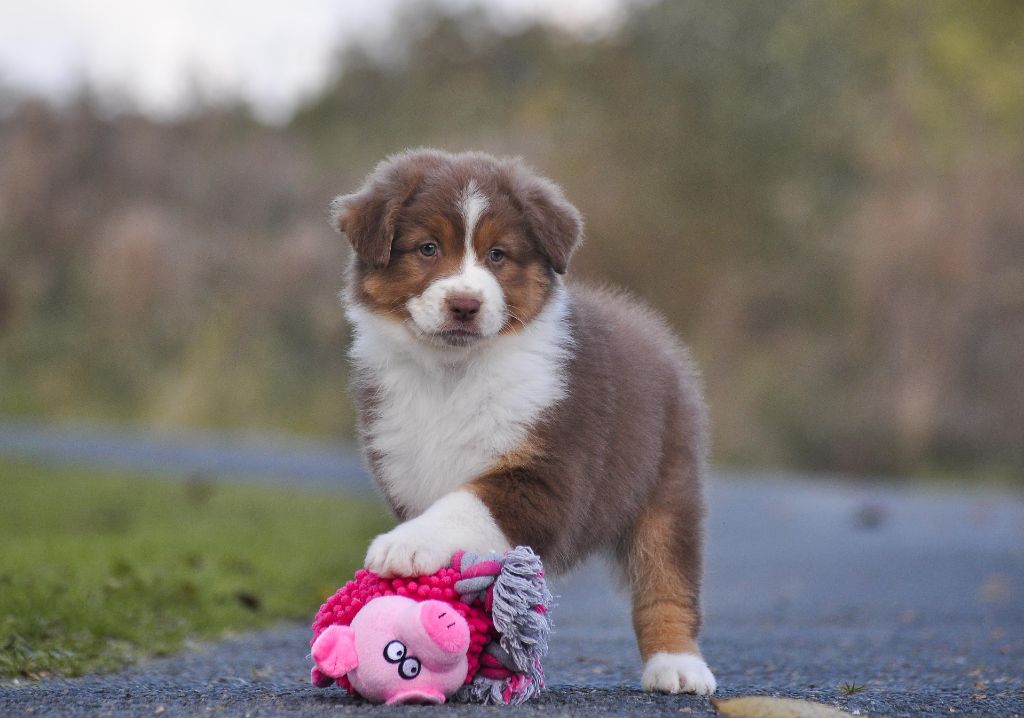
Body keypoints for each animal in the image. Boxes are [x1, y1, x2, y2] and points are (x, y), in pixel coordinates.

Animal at [331, 148, 715, 695]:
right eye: (428, 248)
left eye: (498, 255)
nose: (465, 305)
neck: (453, 373)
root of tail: (654, 332)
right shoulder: (404, 463)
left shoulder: (545, 473)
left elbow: (463, 506)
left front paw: (404, 547)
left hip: (667, 487)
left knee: (667, 580)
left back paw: (678, 666)